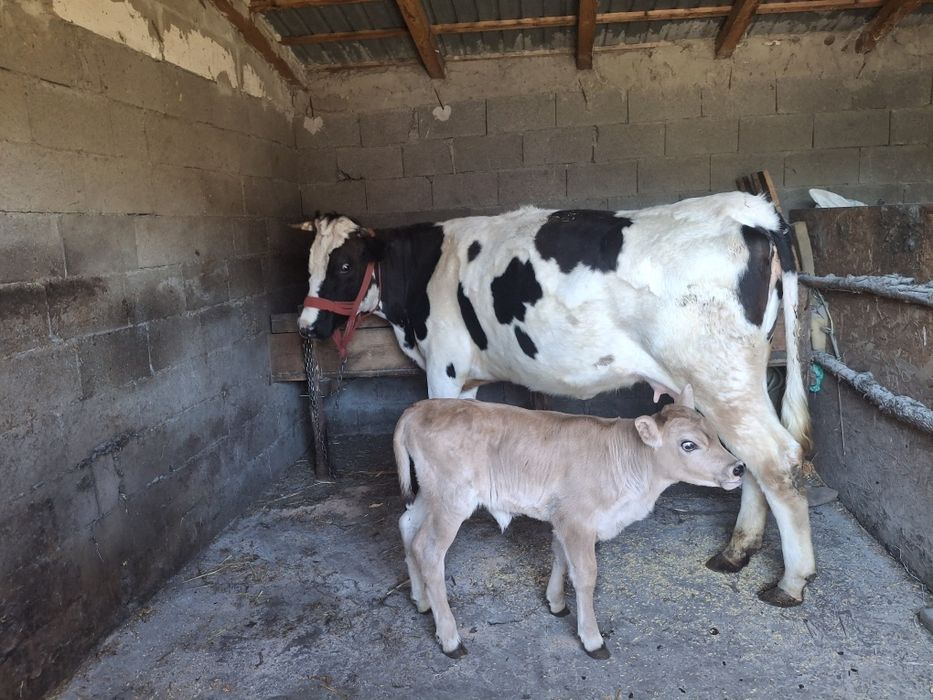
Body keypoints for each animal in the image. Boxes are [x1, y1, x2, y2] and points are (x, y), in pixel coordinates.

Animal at [296, 192, 815, 607]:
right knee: (752, 462)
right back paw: (737, 552)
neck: (426, 271)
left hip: (719, 375)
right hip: (740, 377)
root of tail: (750, 209)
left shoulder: (444, 366)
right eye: (307, 264)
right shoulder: (467, 378)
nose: (307, 326)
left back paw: (790, 582)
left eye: (344, 265)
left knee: (777, 459)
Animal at [394, 386, 746, 658]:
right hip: (451, 499)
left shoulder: (563, 518)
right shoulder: (578, 520)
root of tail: (418, 407)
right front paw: (591, 639)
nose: (738, 467)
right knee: (429, 551)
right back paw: (450, 638)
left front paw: (556, 603)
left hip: (430, 494)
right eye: (688, 444)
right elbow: (586, 575)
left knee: (407, 525)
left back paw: (420, 600)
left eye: (715, 435)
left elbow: (560, 557)